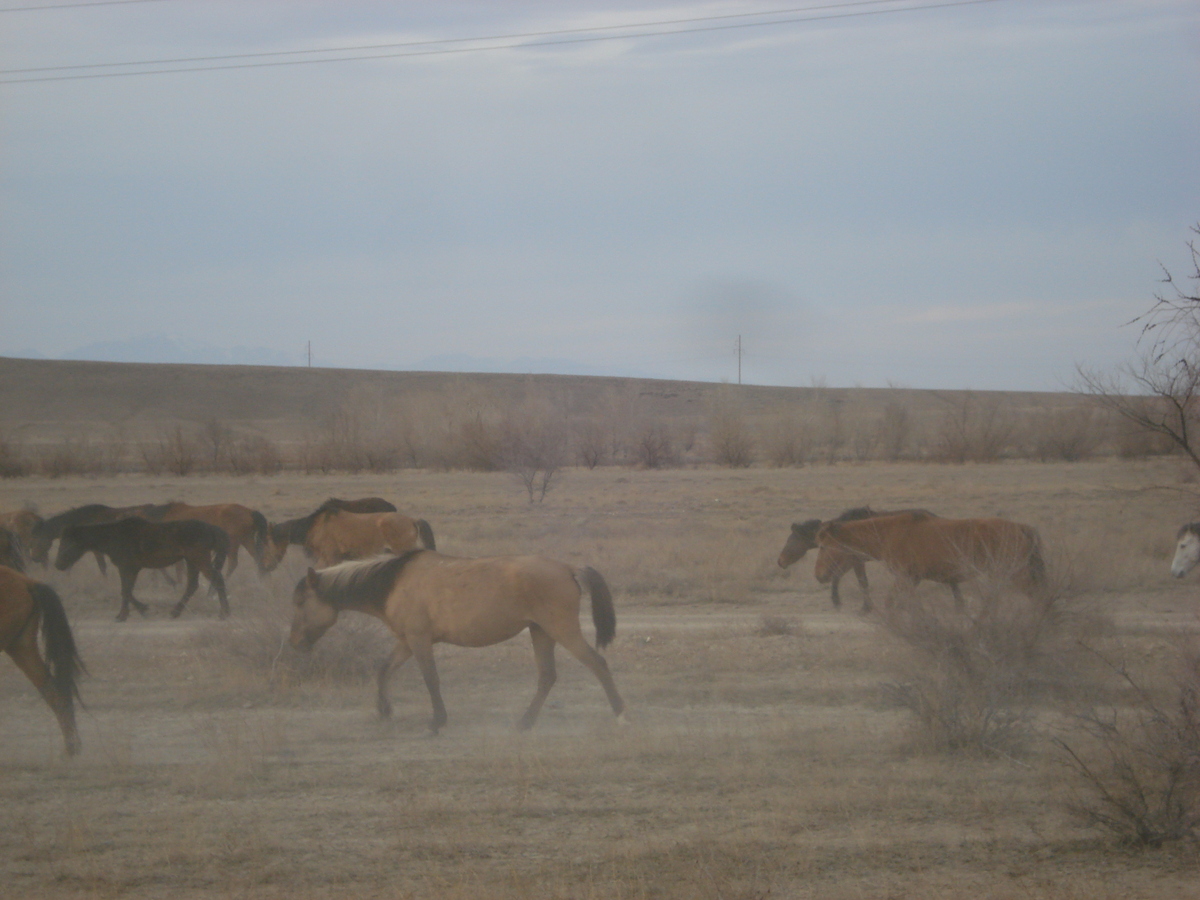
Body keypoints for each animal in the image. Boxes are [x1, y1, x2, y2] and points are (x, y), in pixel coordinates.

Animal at [54, 518, 231, 624]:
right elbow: (126, 590)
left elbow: (125, 591)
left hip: (199, 559)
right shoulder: (131, 569)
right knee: (192, 585)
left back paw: (224, 613)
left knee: (217, 579)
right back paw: (175, 612)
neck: (114, 536)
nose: (58, 564)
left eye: (68, 542)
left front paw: (136, 611)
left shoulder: (127, 567)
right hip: (191, 561)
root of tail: (211, 528)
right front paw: (127, 613)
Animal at [291, 554, 628, 734]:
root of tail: (569, 568)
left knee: (598, 664)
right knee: (547, 676)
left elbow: (431, 679)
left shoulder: (419, 640)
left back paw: (620, 712)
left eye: (300, 602)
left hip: (561, 629)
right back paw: (524, 722)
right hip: (541, 632)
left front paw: (437, 721)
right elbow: (384, 669)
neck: (394, 582)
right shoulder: (407, 641)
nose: (295, 642)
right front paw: (384, 709)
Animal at [811, 511, 1046, 609]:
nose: (818, 575)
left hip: (1017, 575)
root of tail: (1021, 528)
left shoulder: (904, 578)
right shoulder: (912, 580)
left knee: (1038, 596)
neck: (889, 533)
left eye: (823, 546)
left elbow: (891, 603)